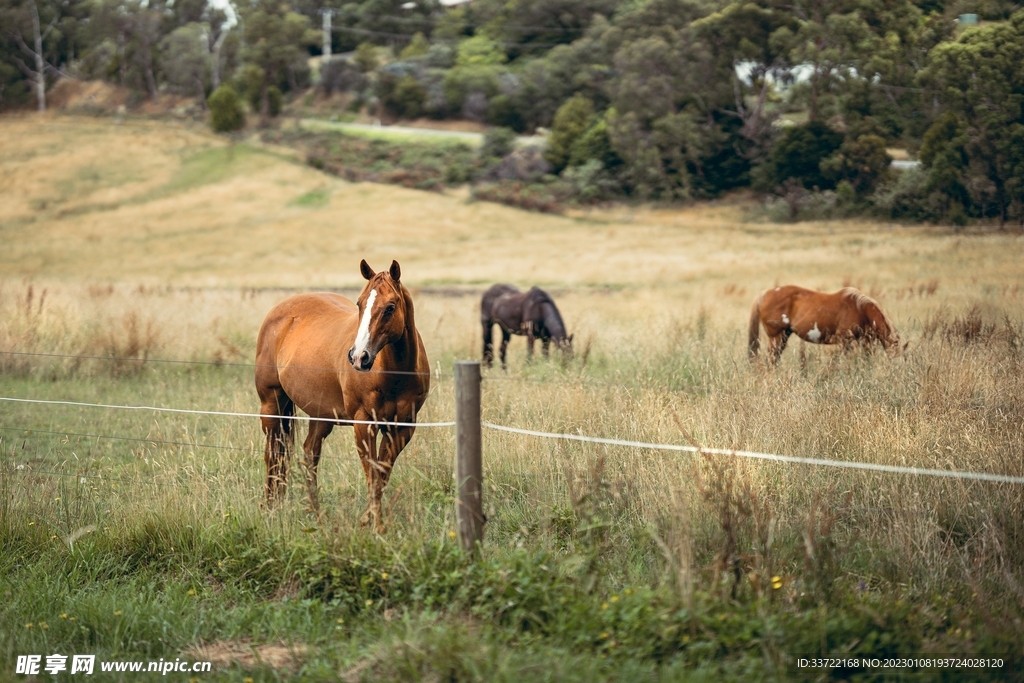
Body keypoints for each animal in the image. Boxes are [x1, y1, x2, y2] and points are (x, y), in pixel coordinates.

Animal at [254, 259, 429, 533]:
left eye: (390, 307)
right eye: (359, 303)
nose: (359, 357)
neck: (394, 372)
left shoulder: (402, 428)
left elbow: (382, 474)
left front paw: (370, 521)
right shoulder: (364, 424)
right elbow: (372, 474)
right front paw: (376, 526)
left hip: (320, 416)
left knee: (309, 454)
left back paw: (315, 513)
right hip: (271, 406)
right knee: (274, 456)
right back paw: (271, 509)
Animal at [748, 285, 898, 364]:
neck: (859, 308)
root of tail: (766, 293)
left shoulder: (865, 341)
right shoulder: (845, 341)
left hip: (783, 337)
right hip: (776, 337)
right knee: (771, 360)